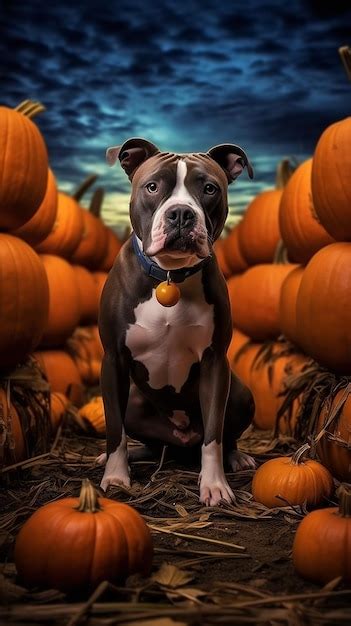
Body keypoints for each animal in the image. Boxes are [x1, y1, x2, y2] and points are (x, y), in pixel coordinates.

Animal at [98, 139, 256, 504]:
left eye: (209, 189)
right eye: (153, 187)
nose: (181, 213)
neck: (170, 275)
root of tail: (181, 441)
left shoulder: (215, 363)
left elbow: (214, 434)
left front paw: (215, 485)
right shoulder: (113, 360)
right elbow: (115, 430)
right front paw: (116, 477)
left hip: (241, 393)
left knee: (223, 435)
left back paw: (236, 457)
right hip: (134, 403)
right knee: (146, 440)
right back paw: (133, 454)